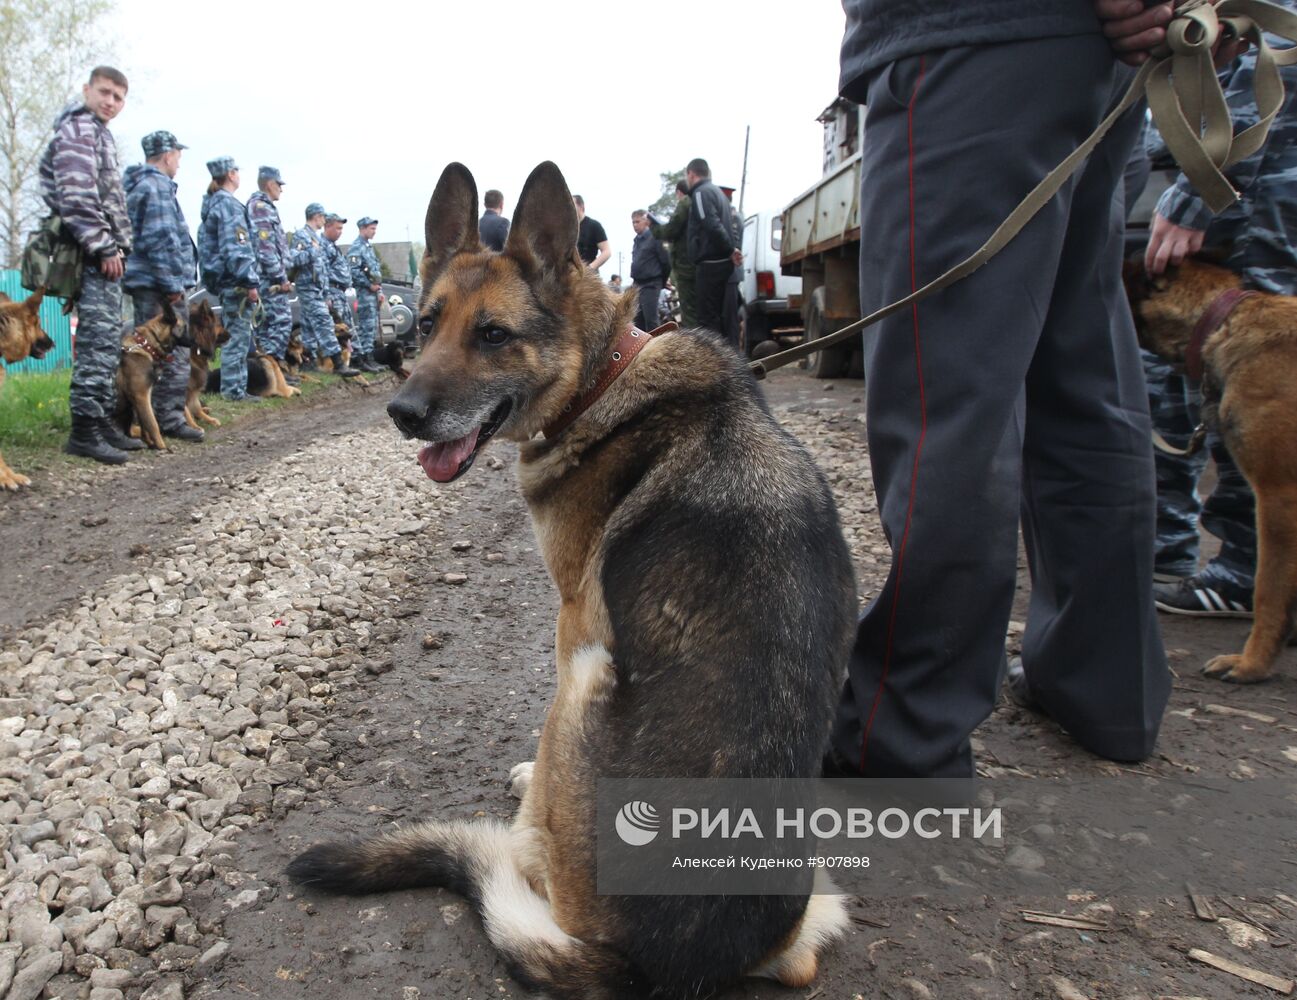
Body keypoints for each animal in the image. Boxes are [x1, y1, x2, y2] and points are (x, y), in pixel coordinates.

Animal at [184, 303, 226, 433]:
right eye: (219, 324)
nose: (231, 335)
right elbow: (186, 410)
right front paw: (193, 427)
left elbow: (196, 406)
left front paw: (209, 420)